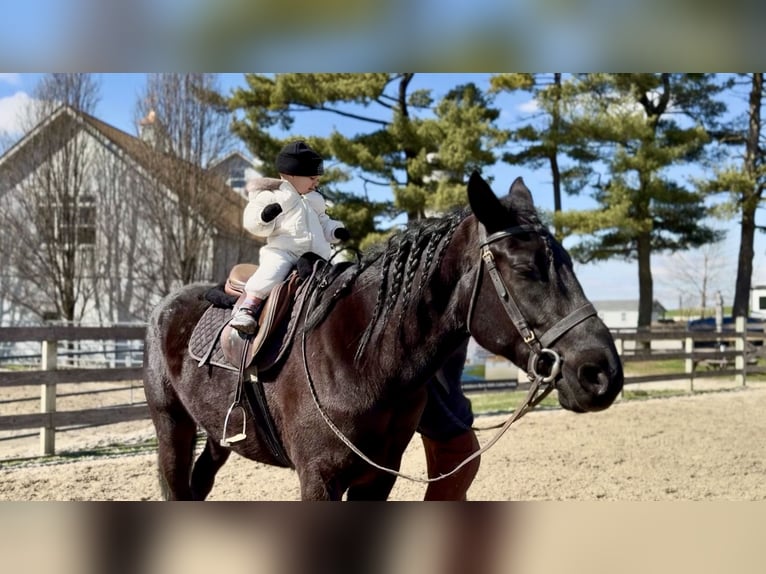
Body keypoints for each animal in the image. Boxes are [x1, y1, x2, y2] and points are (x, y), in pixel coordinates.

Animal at [142, 171, 624, 501]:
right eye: (525, 268)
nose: (602, 373)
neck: (360, 358)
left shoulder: (377, 477)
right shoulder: (318, 478)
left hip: (217, 432)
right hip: (172, 426)